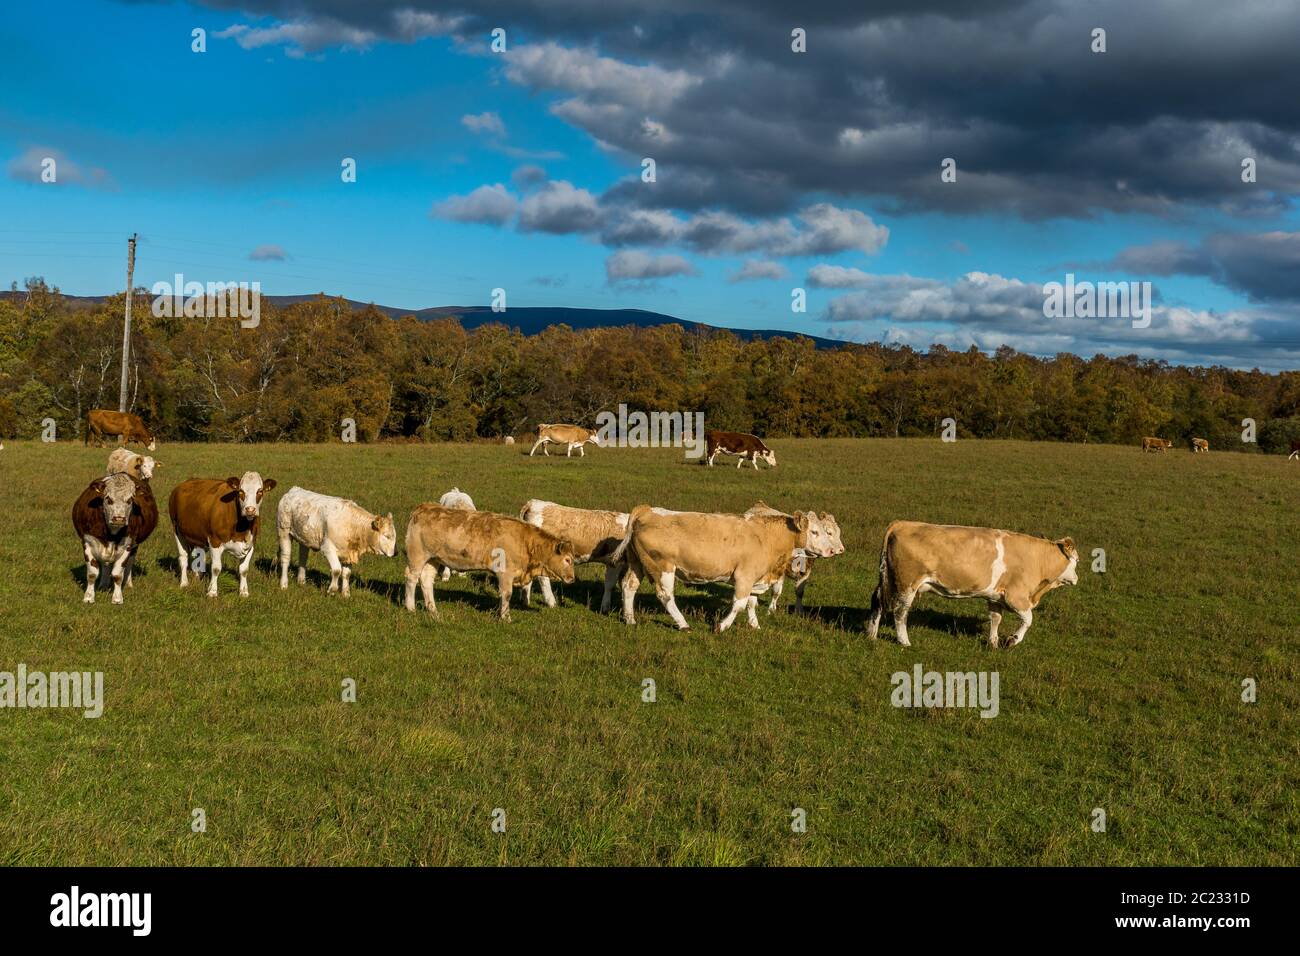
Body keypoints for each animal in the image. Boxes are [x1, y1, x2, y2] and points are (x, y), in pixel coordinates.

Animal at [73, 470, 157, 606]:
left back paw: (128, 583)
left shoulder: (127, 545)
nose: (119, 518)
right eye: (108, 499)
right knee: (106, 565)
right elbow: (92, 574)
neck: (110, 534)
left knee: (129, 564)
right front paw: (89, 597)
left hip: (134, 546)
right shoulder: (87, 542)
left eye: (130, 500)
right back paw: (103, 585)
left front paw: (117, 598)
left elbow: (117, 575)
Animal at [400, 504, 574, 624]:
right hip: (418, 555)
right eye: (567, 559)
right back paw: (410, 607)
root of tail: (422, 508)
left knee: (426, 581)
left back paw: (433, 611)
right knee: (411, 578)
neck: (526, 542)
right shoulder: (505, 573)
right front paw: (505, 617)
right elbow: (507, 594)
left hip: (433, 559)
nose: (572, 578)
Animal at [613, 504, 847, 632]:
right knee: (666, 596)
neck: (767, 537)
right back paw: (683, 624)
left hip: (637, 564)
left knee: (629, 587)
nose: (833, 550)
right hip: (663, 567)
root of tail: (646, 511)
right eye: (815, 532)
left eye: (828, 531)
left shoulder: (756, 578)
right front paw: (722, 626)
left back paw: (630, 619)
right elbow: (739, 604)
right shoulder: (744, 576)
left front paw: (755, 625)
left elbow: (751, 604)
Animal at [863, 522, 1076, 650]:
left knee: (877, 603)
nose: (1076, 578)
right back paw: (904, 641)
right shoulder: (1016, 597)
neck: (1036, 559)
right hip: (907, 584)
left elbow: (995, 619)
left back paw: (871, 635)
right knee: (900, 612)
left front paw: (993, 643)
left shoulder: (995, 597)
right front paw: (1012, 640)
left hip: (888, 581)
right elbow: (1028, 619)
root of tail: (901, 523)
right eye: (1077, 561)